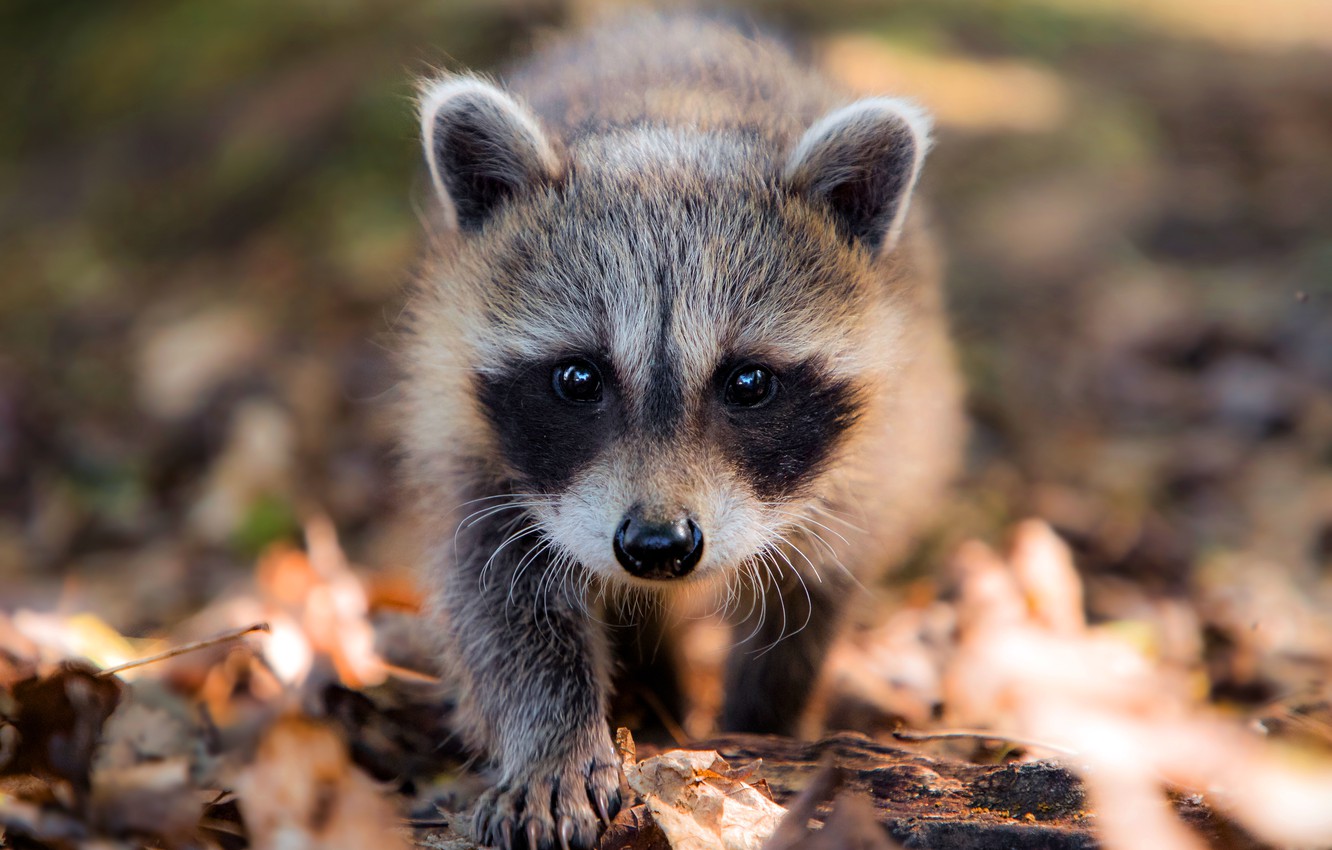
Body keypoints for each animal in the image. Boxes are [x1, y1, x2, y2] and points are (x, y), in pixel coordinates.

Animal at [399, 11, 964, 850]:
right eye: (578, 379)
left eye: (749, 383)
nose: (657, 547)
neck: (675, 118)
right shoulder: (470, 437)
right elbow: (498, 601)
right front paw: (552, 741)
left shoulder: (873, 454)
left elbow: (808, 598)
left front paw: (763, 724)